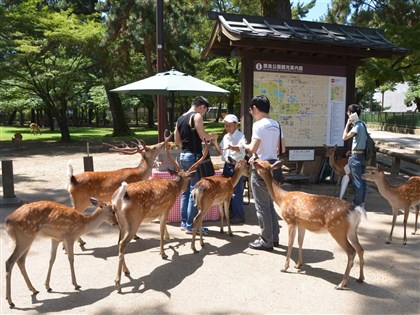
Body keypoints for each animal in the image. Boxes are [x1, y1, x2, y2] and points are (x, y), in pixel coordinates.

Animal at [111, 133, 210, 294]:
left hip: (121, 223)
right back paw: (118, 283)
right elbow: (162, 231)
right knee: (122, 244)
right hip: (134, 220)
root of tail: (117, 198)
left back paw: (127, 271)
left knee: (119, 242)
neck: (174, 188)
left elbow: (163, 231)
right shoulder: (165, 209)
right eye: (188, 178)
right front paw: (163, 254)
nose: (185, 188)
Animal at [251, 159, 366, 290]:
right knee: (360, 249)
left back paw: (341, 284)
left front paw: (285, 267)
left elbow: (290, 243)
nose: (254, 160)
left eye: (262, 164)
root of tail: (355, 210)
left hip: (337, 229)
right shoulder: (301, 224)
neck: (282, 199)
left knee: (351, 252)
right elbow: (300, 242)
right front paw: (298, 265)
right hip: (352, 230)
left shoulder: (290, 221)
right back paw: (360, 278)